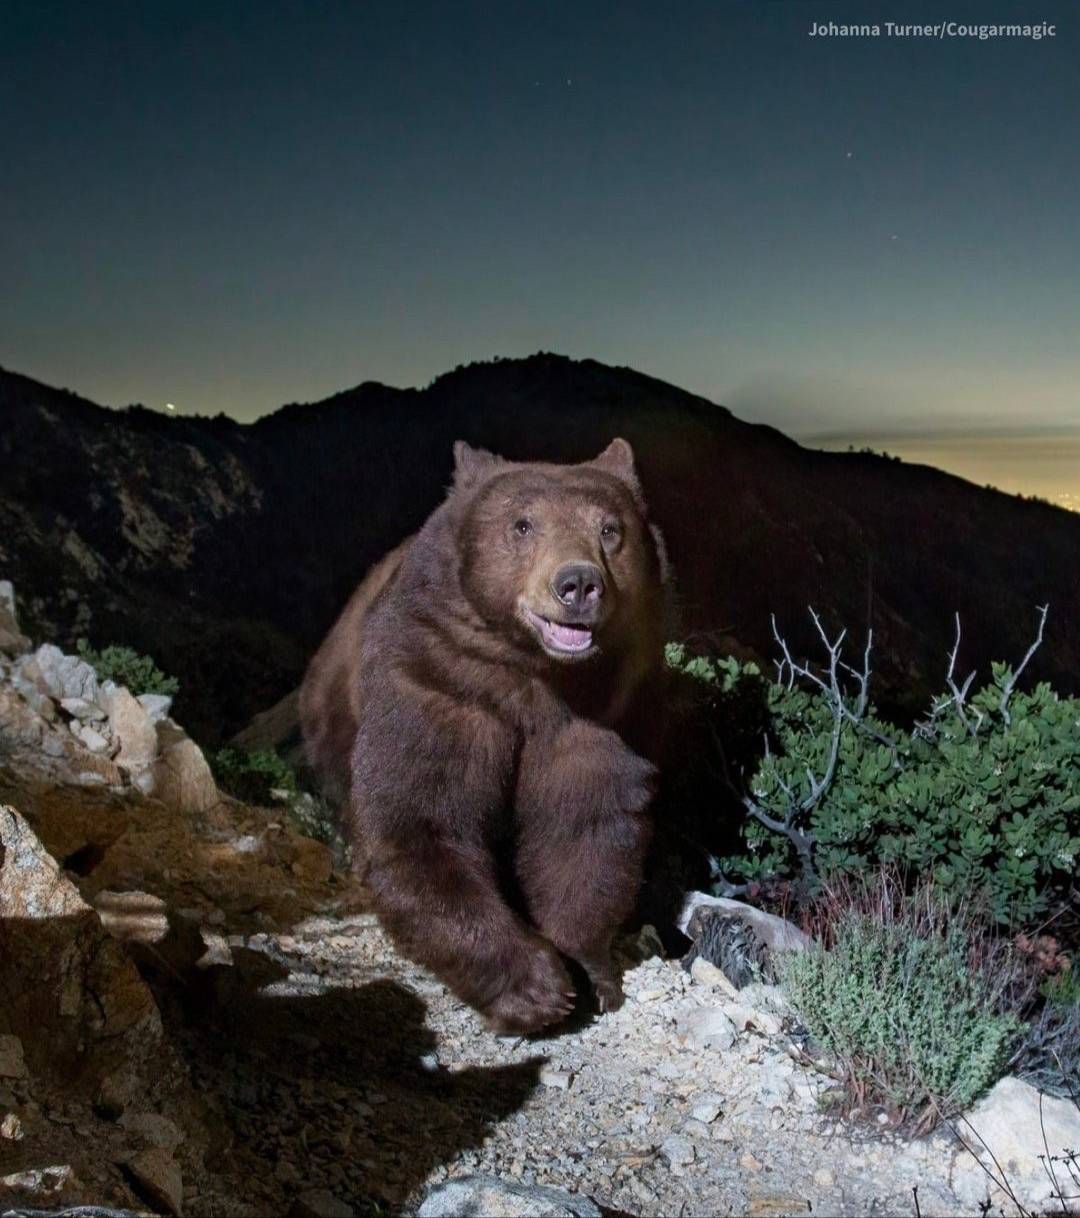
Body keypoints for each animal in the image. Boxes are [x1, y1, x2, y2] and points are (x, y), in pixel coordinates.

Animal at [299, 438, 670, 1033]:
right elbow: (422, 823)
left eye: (611, 529)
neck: (537, 678)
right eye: (523, 525)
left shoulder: (604, 717)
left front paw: (591, 972)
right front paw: (536, 987)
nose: (577, 583)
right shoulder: (440, 684)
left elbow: (584, 830)